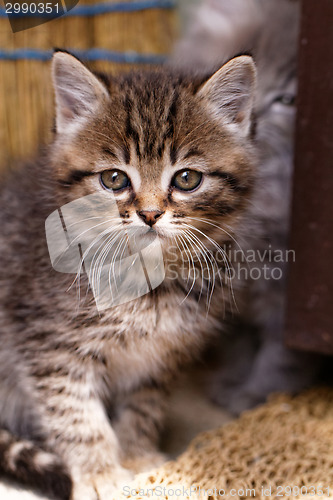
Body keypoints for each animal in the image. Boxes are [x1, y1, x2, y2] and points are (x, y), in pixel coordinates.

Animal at [0, 52, 256, 498]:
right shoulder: (46, 341)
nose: (150, 214)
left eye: (187, 178)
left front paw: (137, 455)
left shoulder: (161, 354)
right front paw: (99, 473)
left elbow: (143, 405)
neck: (148, 282)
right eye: (114, 178)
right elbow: (75, 411)